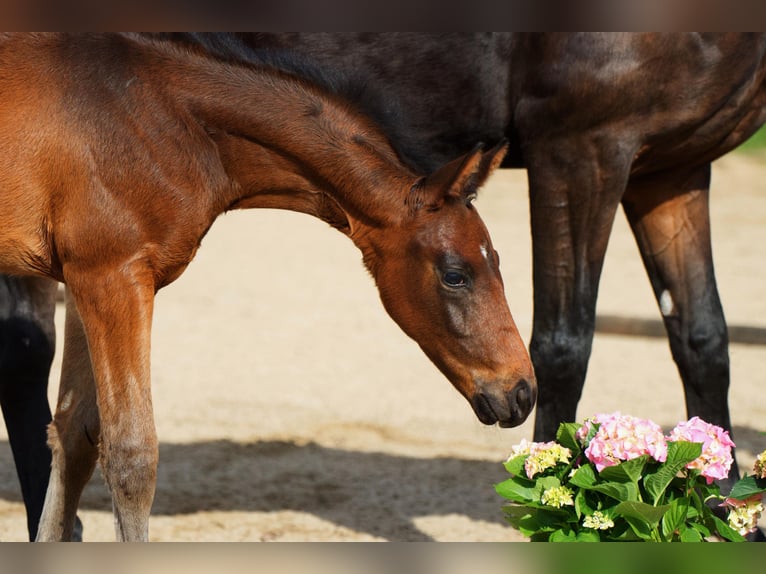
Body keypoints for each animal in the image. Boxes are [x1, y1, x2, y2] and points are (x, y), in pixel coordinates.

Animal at [0, 33, 534, 541]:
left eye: (498, 260)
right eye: (454, 274)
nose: (523, 392)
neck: (157, 114)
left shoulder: (86, 279)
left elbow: (74, 435)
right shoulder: (114, 277)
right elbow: (133, 455)